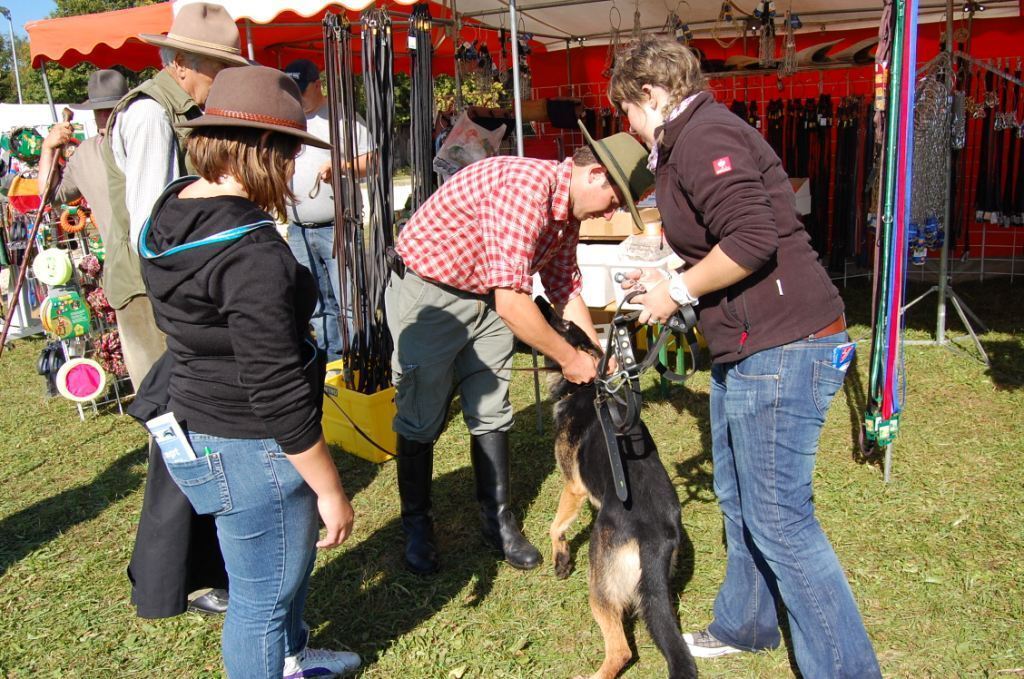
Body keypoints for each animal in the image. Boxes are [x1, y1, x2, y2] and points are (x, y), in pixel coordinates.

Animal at [540, 303, 700, 679]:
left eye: (563, 324)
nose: (539, 301)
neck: (584, 389)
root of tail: (656, 537)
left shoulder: (573, 487)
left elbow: (555, 526)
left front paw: (561, 558)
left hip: (600, 583)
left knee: (621, 651)